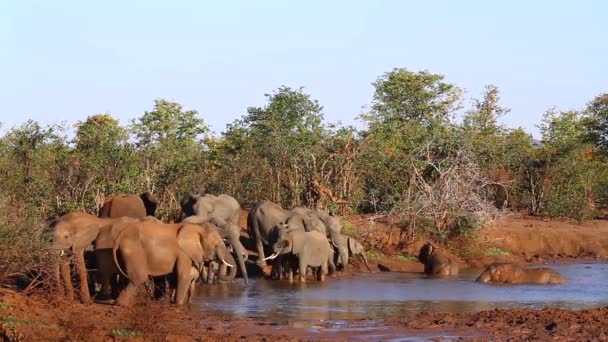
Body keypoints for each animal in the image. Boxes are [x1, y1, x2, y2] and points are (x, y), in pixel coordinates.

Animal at [95, 218, 235, 306]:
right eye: (216, 245)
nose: (212, 265)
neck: (197, 228)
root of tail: (120, 236)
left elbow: (183, 278)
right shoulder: (183, 252)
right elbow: (183, 276)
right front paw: (178, 305)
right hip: (133, 250)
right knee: (139, 277)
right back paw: (120, 304)